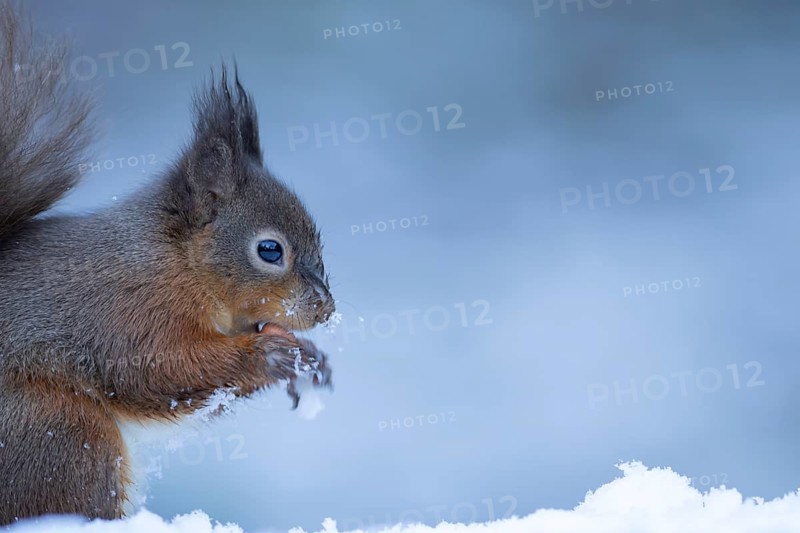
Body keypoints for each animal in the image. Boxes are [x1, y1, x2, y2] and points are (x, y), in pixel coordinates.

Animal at [0, 2, 335, 525]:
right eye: (270, 250)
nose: (325, 307)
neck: (176, 262)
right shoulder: (127, 311)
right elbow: (160, 370)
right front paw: (273, 356)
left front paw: (307, 357)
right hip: (61, 431)